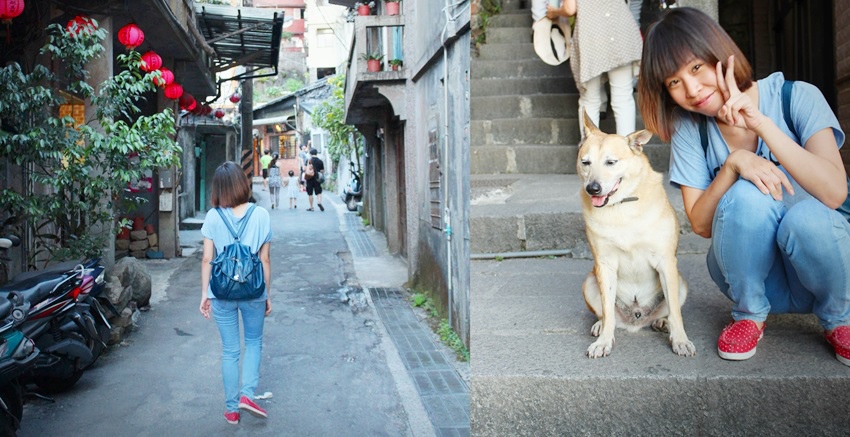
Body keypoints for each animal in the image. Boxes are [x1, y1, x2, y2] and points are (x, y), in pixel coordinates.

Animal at [572, 112, 692, 358]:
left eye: (611, 162)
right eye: (585, 162)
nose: (592, 188)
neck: (621, 206)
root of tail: (636, 319)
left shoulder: (666, 262)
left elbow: (676, 312)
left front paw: (680, 340)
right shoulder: (605, 264)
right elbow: (607, 310)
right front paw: (604, 341)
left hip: (680, 282)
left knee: (669, 310)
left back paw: (662, 322)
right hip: (589, 283)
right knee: (606, 314)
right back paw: (600, 326)